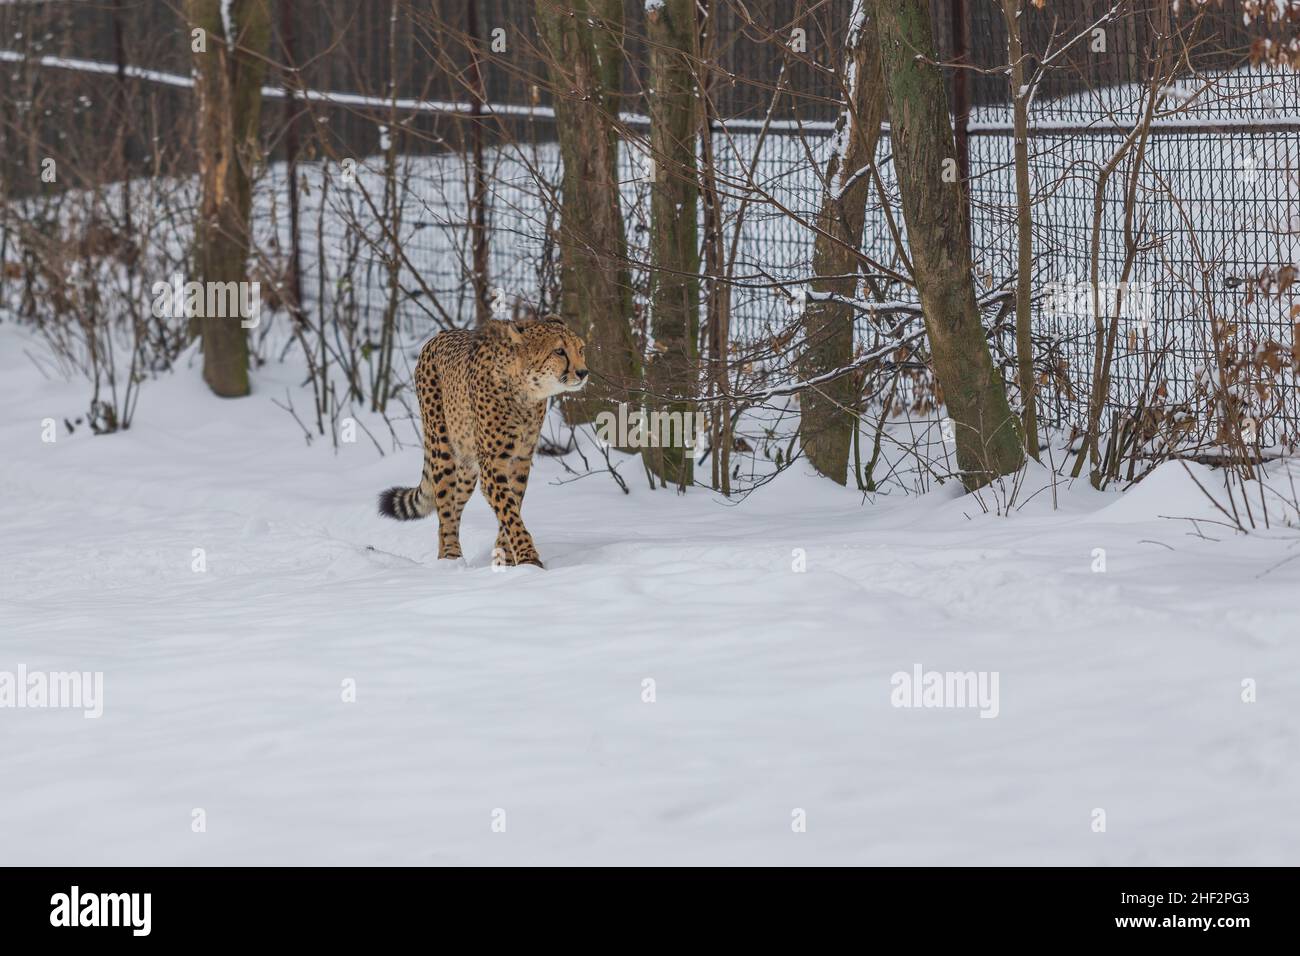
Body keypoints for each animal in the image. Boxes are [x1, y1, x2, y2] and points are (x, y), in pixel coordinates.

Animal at [377, 314, 590, 567]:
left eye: (580, 349)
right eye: (559, 351)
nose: (583, 372)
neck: (525, 392)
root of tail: (438, 335)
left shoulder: (520, 460)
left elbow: (512, 505)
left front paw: (505, 556)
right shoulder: (493, 462)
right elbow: (508, 510)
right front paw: (528, 558)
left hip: (467, 466)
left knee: (452, 504)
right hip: (443, 448)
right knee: (445, 506)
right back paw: (451, 557)